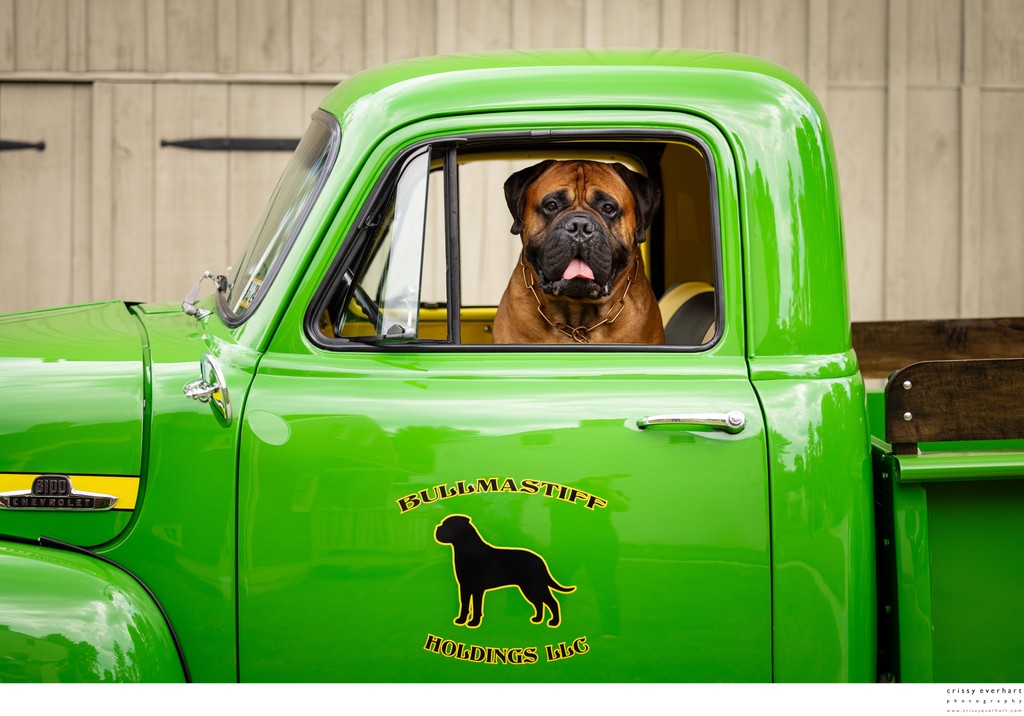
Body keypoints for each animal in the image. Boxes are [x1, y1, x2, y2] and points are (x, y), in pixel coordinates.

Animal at [434, 516, 577, 626]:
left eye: (445, 525)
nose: (437, 529)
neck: (468, 549)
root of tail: (540, 560)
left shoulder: (476, 589)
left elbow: (476, 607)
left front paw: (474, 622)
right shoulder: (465, 587)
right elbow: (464, 605)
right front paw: (461, 620)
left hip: (533, 586)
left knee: (551, 602)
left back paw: (553, 622)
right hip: (530, 588)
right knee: (539, 603)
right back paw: (537, 619)